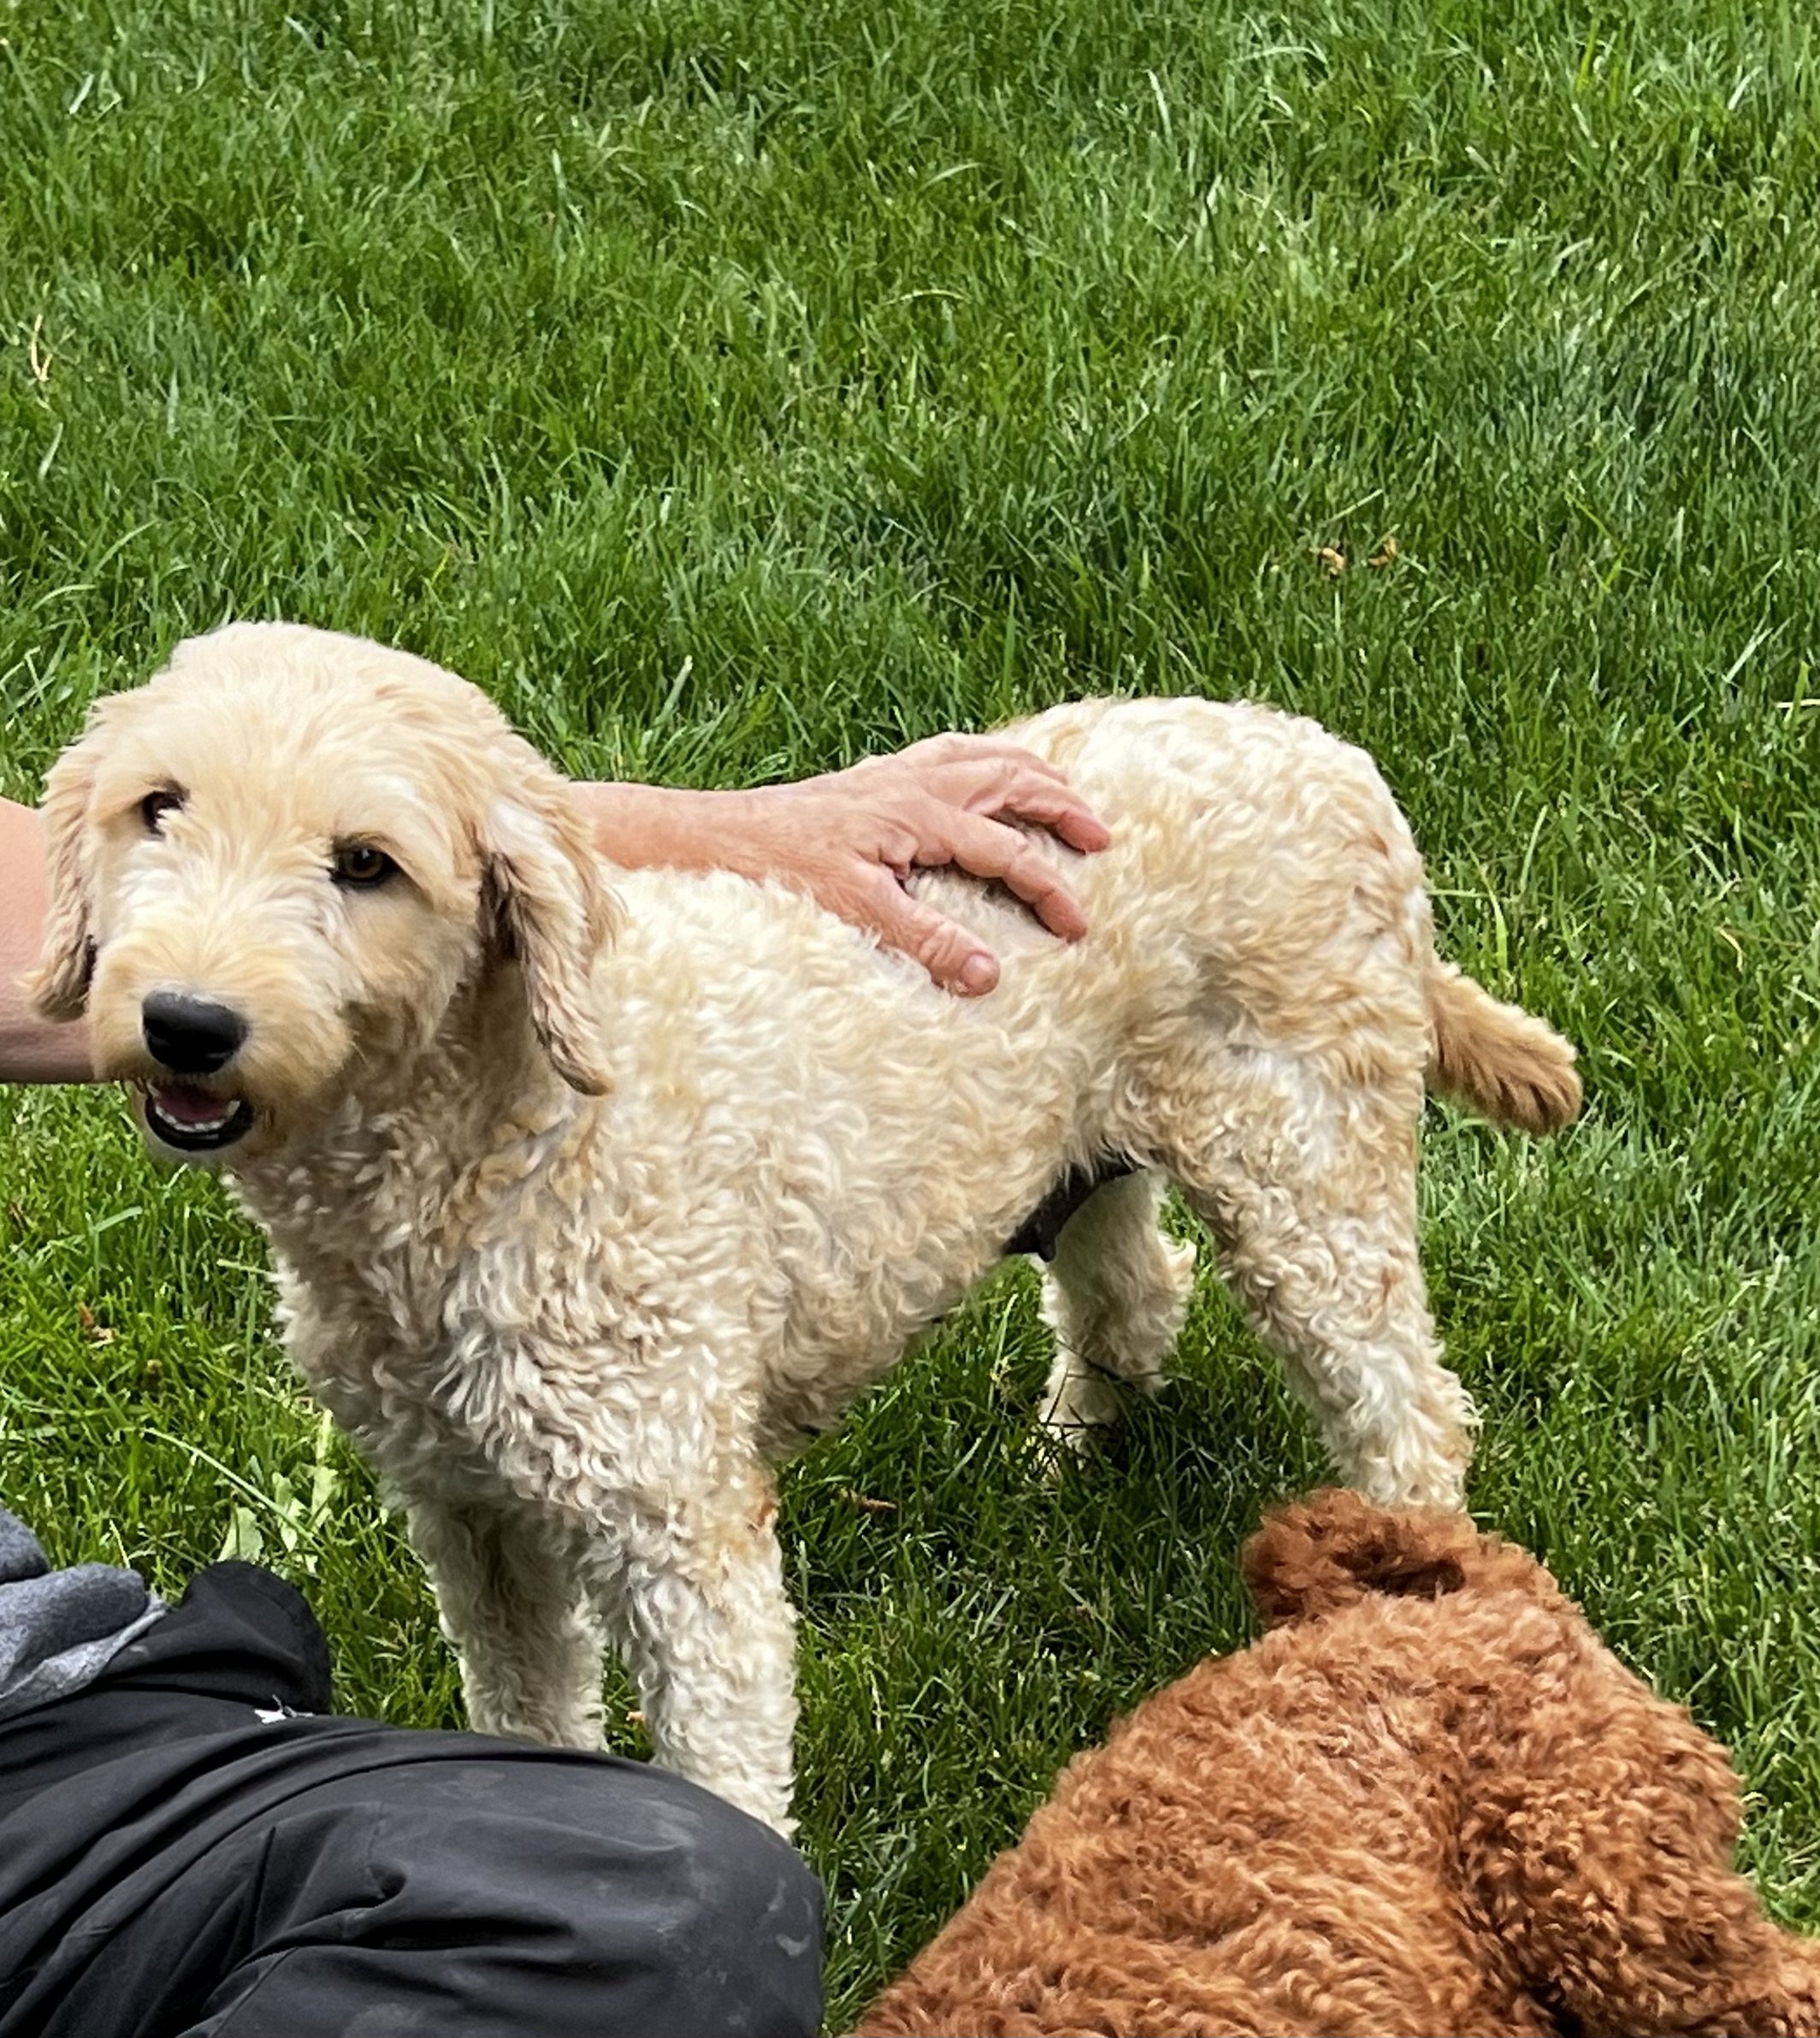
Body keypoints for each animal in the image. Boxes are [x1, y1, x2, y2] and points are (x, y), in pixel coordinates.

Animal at [29, 622, 1578, 1831]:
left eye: (365, 863)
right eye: (157, 806)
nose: (186, 1020)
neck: (494, 1141)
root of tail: (1323, 753)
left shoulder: (671, 1515)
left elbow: (721, 1761)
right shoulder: (469, 1505)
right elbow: (527, 1711)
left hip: (1304, 1160)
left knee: (1406, 1406)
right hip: (1089, 1136)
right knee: (1138, 1287)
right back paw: (1069, 1454)